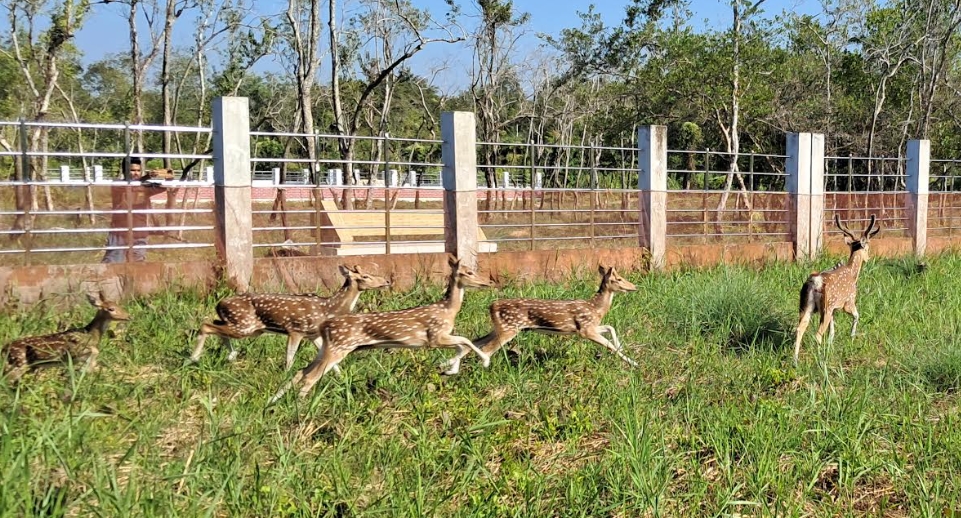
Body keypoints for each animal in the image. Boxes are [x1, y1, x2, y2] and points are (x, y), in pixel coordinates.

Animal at [3, 293, 131, 383]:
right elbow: (94, 351)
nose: (129, 316)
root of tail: (4, 349)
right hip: (19, 363)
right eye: (111, 309)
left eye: (119, 305)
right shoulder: (74, 350)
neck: (90, 334)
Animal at [189, 264, 391, 369]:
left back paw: (230, 355)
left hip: (247, 327)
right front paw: (286, 373)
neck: (328, 308)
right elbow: (290, 356)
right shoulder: (296, 329)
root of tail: (219, 304)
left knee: (215, 324)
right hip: (244, 325)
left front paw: (340, 378)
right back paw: (194, 357)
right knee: (206, 325)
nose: (387, 281)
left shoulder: (313, 334)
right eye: (365, 276)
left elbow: (329, 360)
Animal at [268, 256, 493, 404]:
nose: (488, 281)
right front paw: (484, 361)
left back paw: (274, 402)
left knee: (302, 371)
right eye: (469, 272)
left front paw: (450, 367)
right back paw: (299, 408)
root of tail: (325, 326)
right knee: (310, 376)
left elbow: (463, 344)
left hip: (327, 347)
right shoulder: (434, 336)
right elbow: (466, 340)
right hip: (339, 347)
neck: (448, 310)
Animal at [472, 265, 639, 368]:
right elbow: (609, 344)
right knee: (486, 349)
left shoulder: (588, 327)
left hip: (499, 328)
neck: (596, 308)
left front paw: (623, 347)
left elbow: (610, 327)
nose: (635, 286)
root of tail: (491, 306)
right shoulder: (585, 329)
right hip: (509, 328)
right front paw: (634, 363)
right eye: (619, 279)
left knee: (476, 342)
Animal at [793, 214, 881, 364]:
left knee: (800, 328)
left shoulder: (834, 309)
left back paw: (795, 360)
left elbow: (832, 331)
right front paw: (852, 335)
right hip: (826, 306)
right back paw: (820, 358)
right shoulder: (848, 301)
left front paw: (830, 345)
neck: (852, 274)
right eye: (868, 247)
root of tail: (815, 282)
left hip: (805, 306)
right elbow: (857, 315)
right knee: (817, 334)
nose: (868, 258)